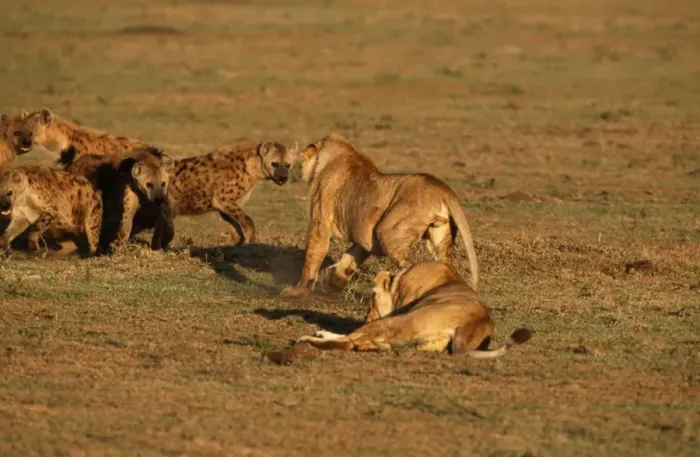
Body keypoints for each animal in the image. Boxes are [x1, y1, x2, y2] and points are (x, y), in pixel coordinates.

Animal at [280, 133, 479, 298]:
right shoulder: (366, 234)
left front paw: (296, 292)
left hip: (389, 231)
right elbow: (351, 257)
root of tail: (443, 189)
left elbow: (312, 258)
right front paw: (332, 281)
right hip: (440, 236)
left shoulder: (320, 221)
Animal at [296, 261, 531, 357]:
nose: (367, 317)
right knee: (357, 341)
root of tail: (472, 323)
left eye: (372, 300)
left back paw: (308, 340)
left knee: (349, 342)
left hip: (396, 321)